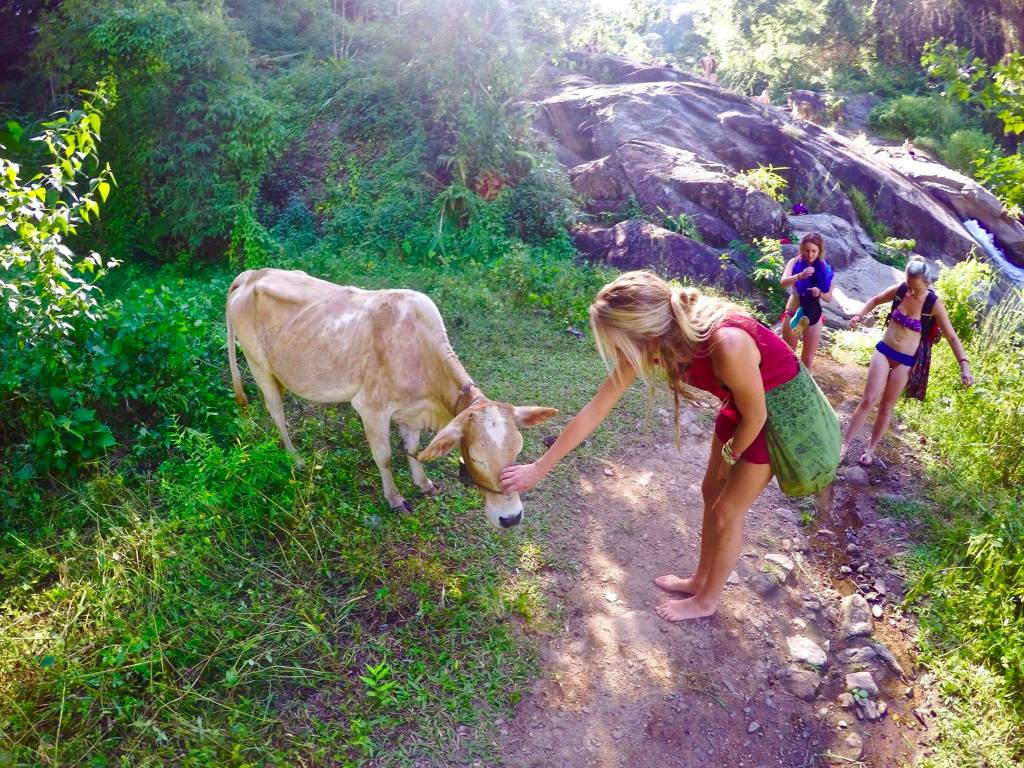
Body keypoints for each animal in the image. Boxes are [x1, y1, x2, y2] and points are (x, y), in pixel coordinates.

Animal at [226, 268, 561, 528]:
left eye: (517, 450)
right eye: (477, 457)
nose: (511, 518)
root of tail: (252, 274)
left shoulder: (411, 410)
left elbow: (412, 449)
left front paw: (423, 484)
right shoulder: (371, 408)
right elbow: (384, 456)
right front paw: (396, 499)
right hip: (257, 364)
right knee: (276, 412)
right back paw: (295, 458)